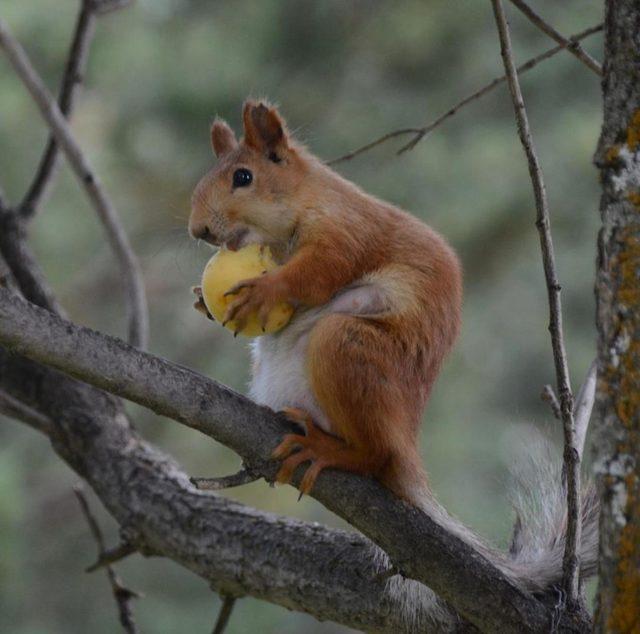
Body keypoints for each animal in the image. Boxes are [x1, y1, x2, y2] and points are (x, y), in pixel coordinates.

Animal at [190, 99, 600, 592]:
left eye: (243, 177)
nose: (197, 230)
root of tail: (406, 440)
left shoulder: (347, 230)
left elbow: (319, 272)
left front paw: (268, 290)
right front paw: (200, 301)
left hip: (345, 348)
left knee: (376, 455)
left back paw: (330, 451)